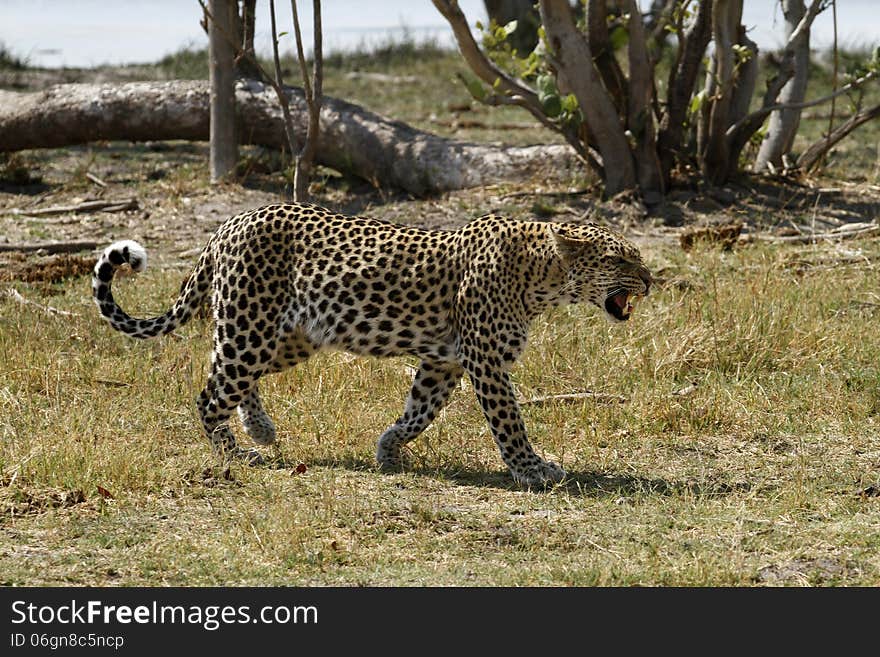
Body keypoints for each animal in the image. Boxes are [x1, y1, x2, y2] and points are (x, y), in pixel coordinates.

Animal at [93, 201, 648, 486]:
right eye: (621, 260)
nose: (650, 281)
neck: (543, 277)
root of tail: (226, 225)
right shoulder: (486, 363)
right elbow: (510, 423)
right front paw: (534, 470)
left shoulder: (443, 362)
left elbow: (419, 412)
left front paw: (388, 449)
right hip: (250, 327)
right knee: (209, 394)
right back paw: (237, 454)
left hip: (284, 336)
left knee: (227, 372)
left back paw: (260, 428)